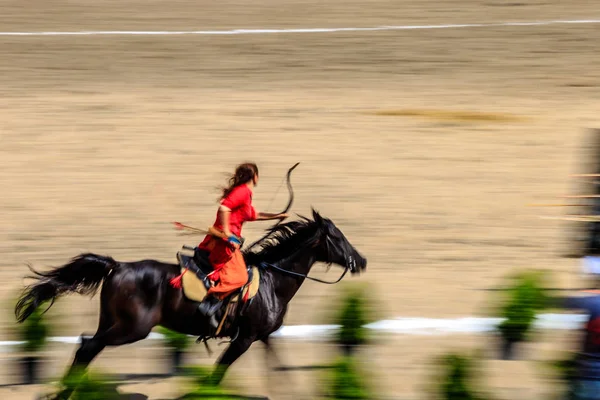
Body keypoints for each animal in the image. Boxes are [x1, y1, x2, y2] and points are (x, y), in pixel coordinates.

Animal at [15, 208, 366, 398]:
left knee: (86, 347)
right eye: (338, 237)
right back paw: (64, 393)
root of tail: (118, 265)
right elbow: (218, 373)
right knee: (88, 347)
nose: (360, 261)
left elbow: (279, 369)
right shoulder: (245, 339)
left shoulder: (264, 337)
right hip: (133, 329)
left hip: (112, 323)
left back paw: (65, 390)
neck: (272, 281)